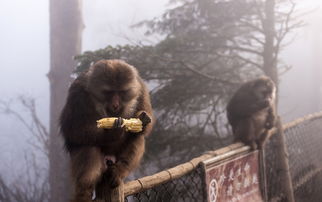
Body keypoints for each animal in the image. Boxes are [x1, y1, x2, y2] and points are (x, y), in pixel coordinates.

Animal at [59, 59, 155, 202]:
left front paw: (142, 118)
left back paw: (119, 170)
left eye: (121, 92)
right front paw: (113, 132)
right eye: (108, 92)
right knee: (89, 146)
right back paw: (84, 192)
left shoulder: (141, 88)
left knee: (137, 137)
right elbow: (74, 130)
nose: (115, 105)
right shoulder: (77, 93)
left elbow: (144, 126)